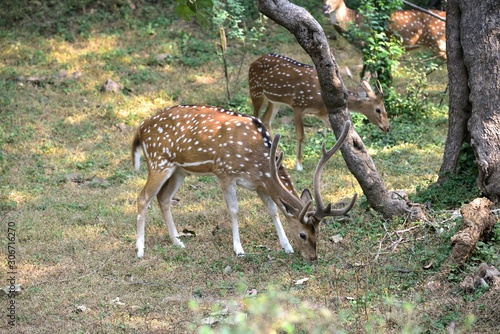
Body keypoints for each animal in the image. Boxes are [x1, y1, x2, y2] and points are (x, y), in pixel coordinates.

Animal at [132, 104, 356, 260]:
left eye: (318, 231)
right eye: (303, 234)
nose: (312, 258)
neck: (257, 162)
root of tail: (140, 130)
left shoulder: (260, 184)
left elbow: (273, 210)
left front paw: (287, 247)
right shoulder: (224, 172)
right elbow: (234, 210)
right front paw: (239, 249)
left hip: (179, 170)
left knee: (163, 198)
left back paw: (177, 241)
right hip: (159, 162)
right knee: (142, 198)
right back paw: (140, 249)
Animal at [248, 53, 388, 172]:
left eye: (384, 108)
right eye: (378, 110)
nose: (387, 127)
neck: (320, 98)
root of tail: (254, 61)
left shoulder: (320, 113)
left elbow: (338, 133)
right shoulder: (298, 105)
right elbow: (300, 135)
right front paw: (299, 165)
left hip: (274, 101)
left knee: (266, 120)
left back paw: (274, 154)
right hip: (255, 90)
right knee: (255, 117)